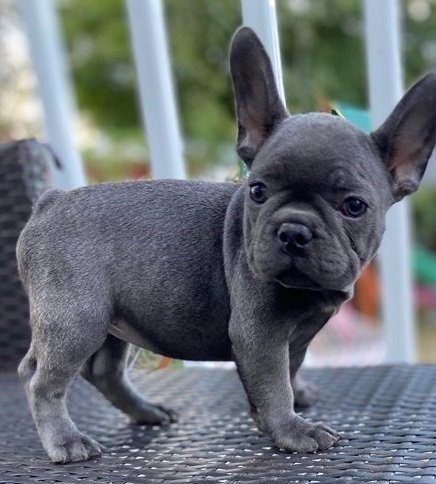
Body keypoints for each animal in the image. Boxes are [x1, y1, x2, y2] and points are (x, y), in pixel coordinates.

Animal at [16, 25, 436, 462]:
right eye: (258, 191)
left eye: (354, 206)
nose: (293, 230)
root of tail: (50, 202)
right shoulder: (260, 335)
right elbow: (275, 387)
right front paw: (292, 430)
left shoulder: (296, 338)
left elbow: (290, 371)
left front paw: (294, 400)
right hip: (76, 321)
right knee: (40, 380)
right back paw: (66, 440)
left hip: (112, 320)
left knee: (104, 371)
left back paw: (146, 411)